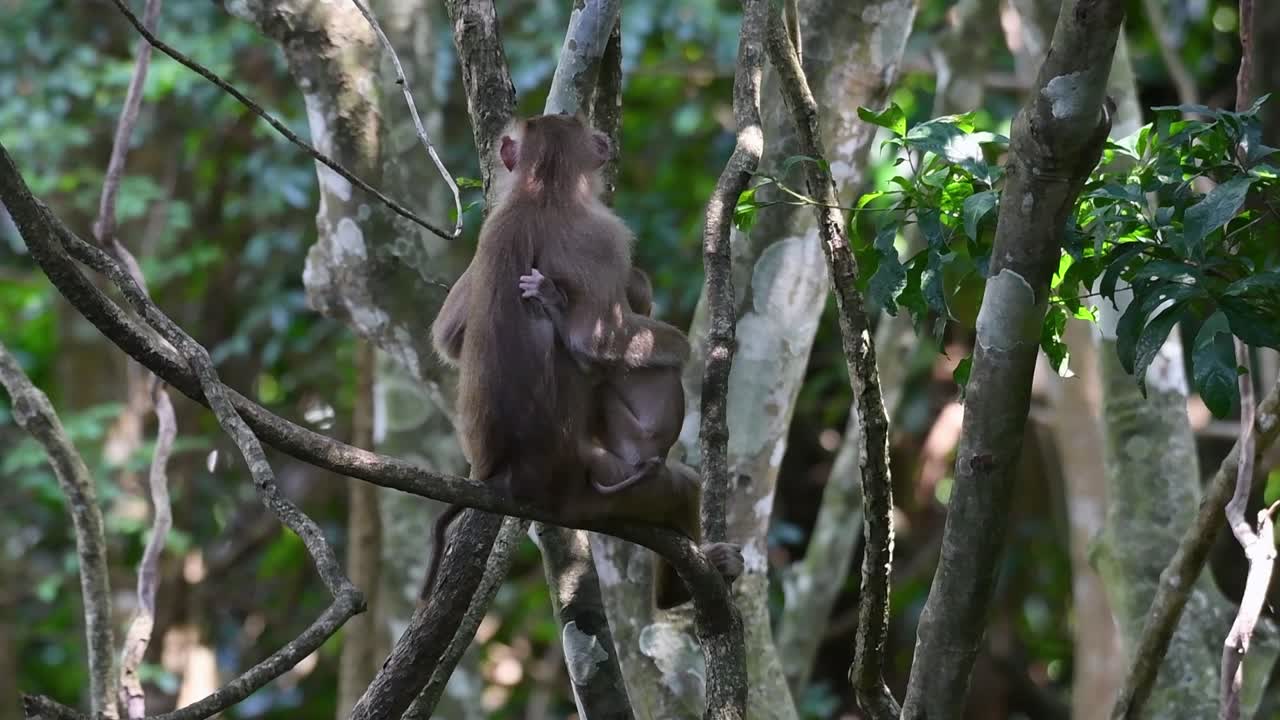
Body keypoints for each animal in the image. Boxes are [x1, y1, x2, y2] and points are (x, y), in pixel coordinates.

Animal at [425, 113, 741, 609]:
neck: (543, 189)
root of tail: (516, 478)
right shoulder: (606, 234)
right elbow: (595, 340)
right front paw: (683, 348)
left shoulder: (492, 225)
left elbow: (449, 337)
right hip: (597, 489)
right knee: (679, 483)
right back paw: (677, 590)